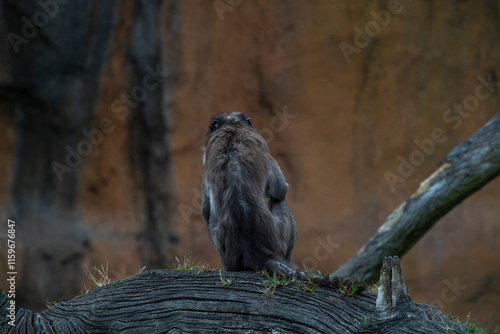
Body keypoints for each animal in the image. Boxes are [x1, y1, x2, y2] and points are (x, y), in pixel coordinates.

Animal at [202, 111, 364, 290]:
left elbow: (205, 209)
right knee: (279, 201)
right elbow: (280, 190)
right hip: (279, 240)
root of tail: (255, 250)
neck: (233, 127)